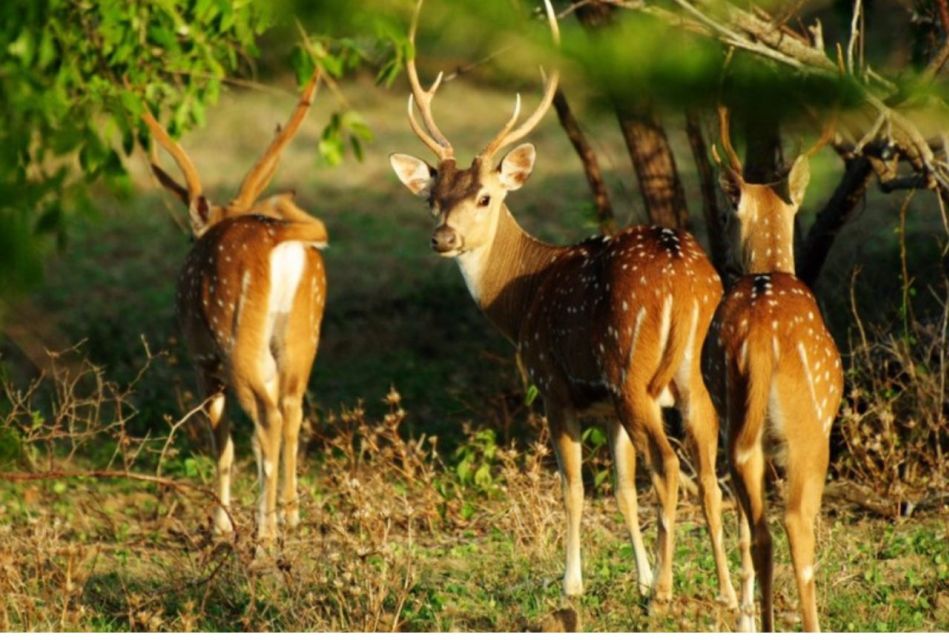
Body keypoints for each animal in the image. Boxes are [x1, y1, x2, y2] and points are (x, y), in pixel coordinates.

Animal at [141, 70, 330, 544]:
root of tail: (281, 237)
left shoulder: (201, 357)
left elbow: (220, 440)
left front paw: (220, 525)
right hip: (304, 332)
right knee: (293, 408)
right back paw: (290, 516)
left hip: (236, 339)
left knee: (266, 419)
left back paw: (263, 534)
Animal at [388, 0, 736, 608]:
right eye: (432, 199)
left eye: (485, 197)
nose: (443, 237)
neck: (522, 296)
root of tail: (686, 280)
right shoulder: (604, 409)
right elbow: (620, 489)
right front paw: (637, 575)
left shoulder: (553, 385)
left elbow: (573, 487)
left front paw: (574, 584)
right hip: (689, 378)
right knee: (709, 471)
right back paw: (730, 594)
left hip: (631, 372)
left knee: (670, 468)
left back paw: (666, 592)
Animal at [700, 109, 840, 632]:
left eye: (725, 214)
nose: (724, 255)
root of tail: (761, 340)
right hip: (809, 433)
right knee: (796, 524)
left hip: (742, 432)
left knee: (759, 530)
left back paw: (757, 621)